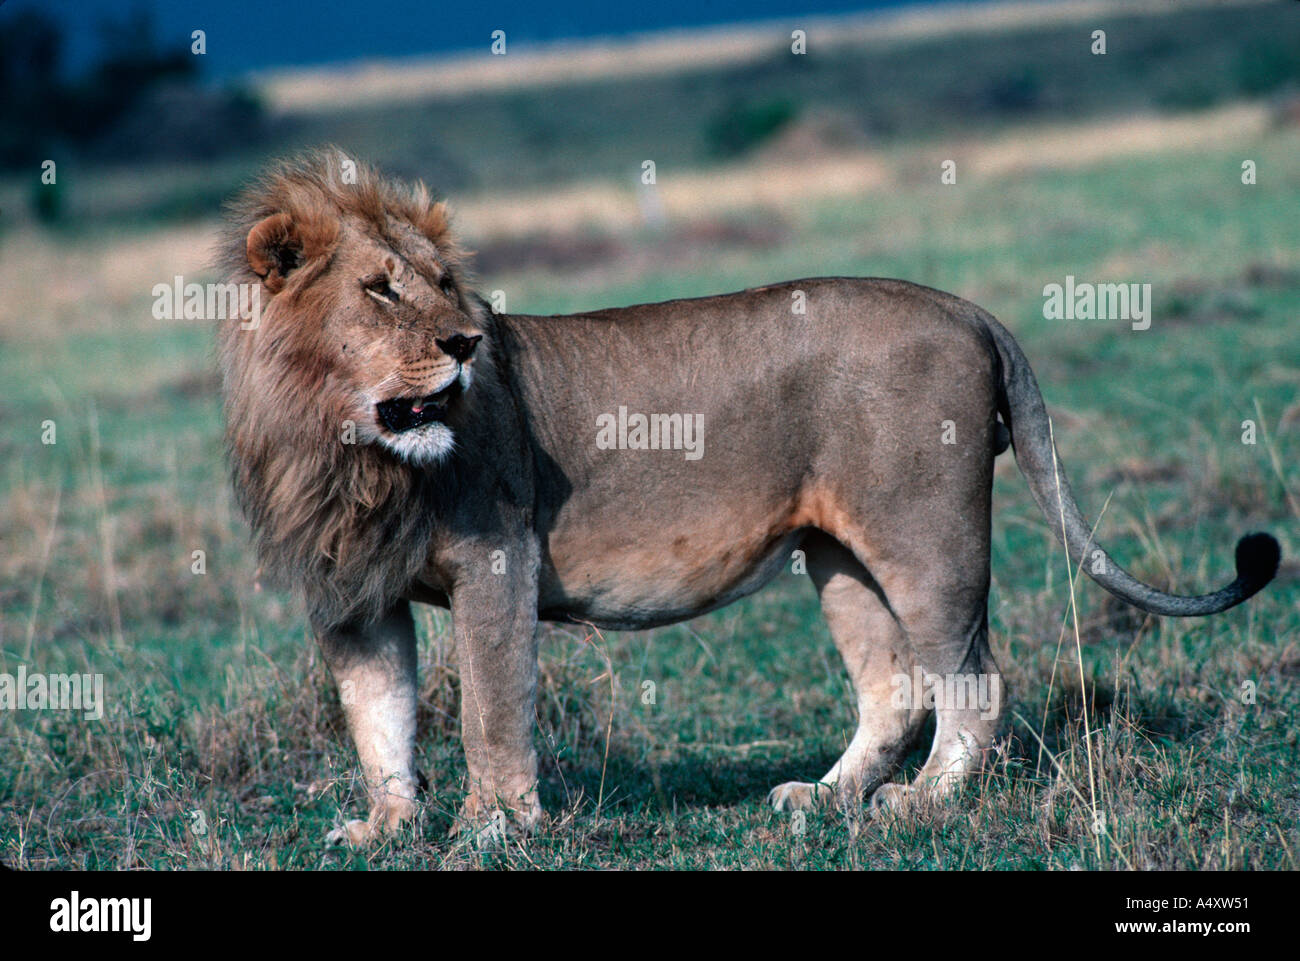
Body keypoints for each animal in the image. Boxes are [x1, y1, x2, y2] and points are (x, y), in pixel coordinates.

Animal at [218, 151, 1280, 844]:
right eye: (380, 290)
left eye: (446, 284)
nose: (467, 343)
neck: (349, 448)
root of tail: (968, 308)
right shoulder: (351, 595)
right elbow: (378, 717)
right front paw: (384, 826)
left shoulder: (497, 557)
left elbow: (487, 704)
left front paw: (492, 826)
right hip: (839, 553)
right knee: (894, 685)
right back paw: (824, 795)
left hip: (926, 534)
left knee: (975, 680)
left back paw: (923, 803)